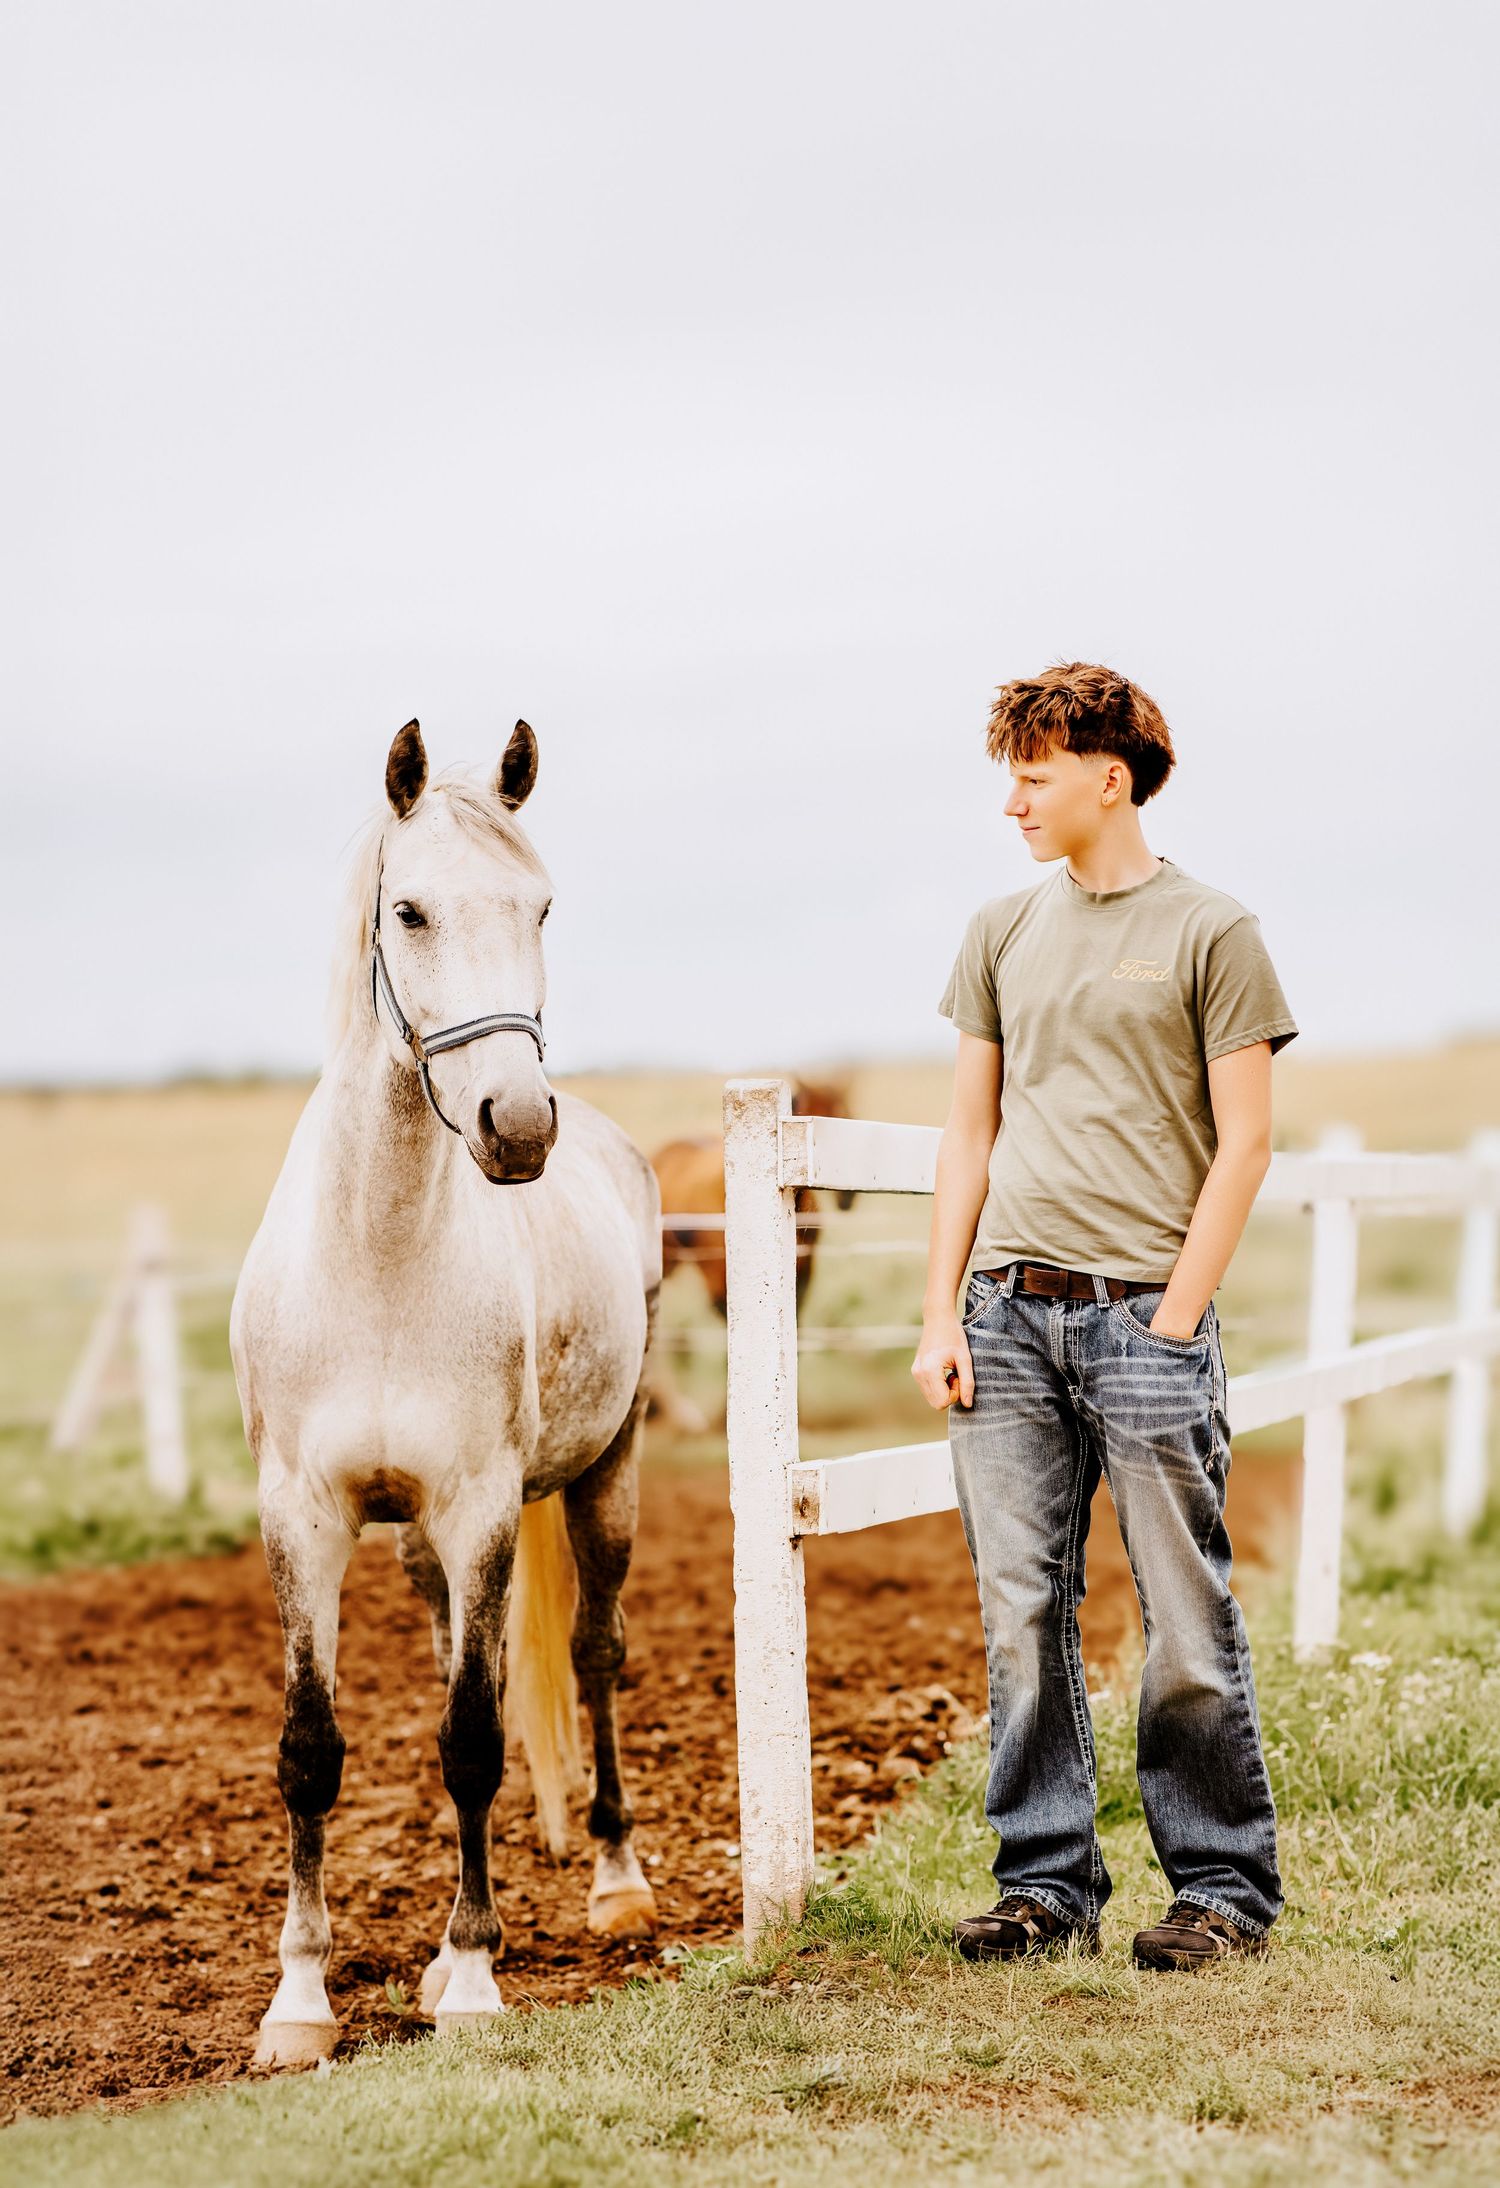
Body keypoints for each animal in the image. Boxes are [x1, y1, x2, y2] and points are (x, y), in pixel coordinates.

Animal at [230, 718, 661, 2066]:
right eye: (410, 910)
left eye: (542, 907)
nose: (516, 1123)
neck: (377, 1255)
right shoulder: (305, 1518)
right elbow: (311, 1751)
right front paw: (300, 2002)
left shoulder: (480, 1507)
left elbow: (473, 1740)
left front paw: (469, 1974)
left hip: (603, 1477)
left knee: (590, 1656)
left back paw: (614, 1878)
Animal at [646, 1078, 855, 1434]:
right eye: (812, 1112)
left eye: (846, 1112)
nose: (847, 1199)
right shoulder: (721, 1280)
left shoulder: (805, 1275)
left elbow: (795, 1338)